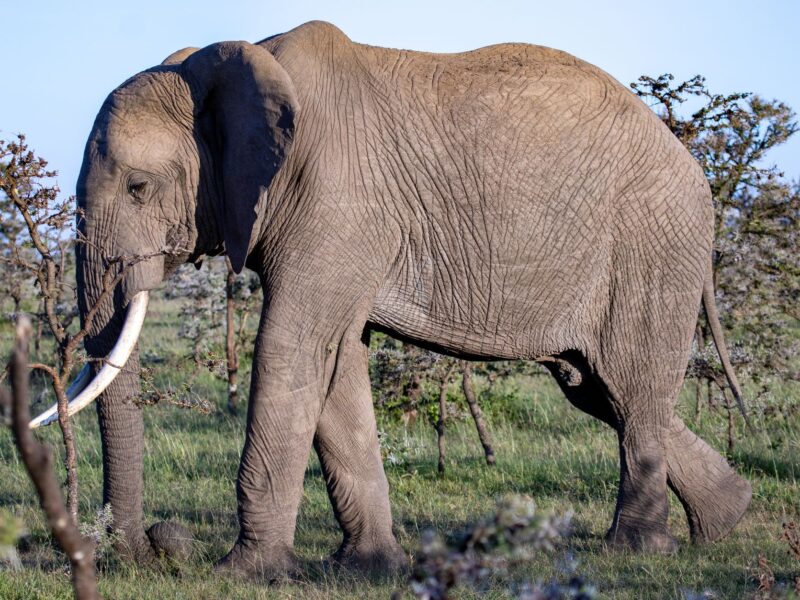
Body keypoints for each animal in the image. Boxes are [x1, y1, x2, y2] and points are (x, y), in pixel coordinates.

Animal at [32, 20, 752, 577]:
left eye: (138, 187)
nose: (147, 549)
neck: (230, 61)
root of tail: (692, 166)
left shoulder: (334, 197)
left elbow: (291, 349)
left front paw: (244, 573)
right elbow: (337, 364)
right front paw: (368, 568)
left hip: (649, 246)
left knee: (632, 384)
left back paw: (637, 552)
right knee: (599, 387)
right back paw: (726, 519)